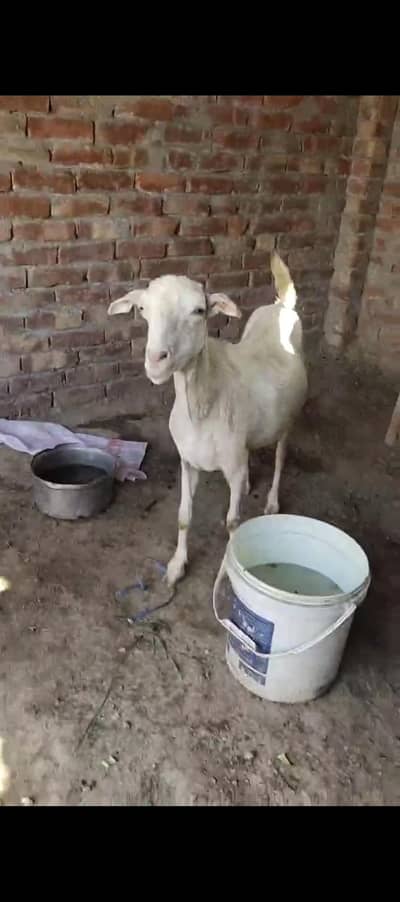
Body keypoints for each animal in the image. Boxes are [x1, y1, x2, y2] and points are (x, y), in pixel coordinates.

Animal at [108, 251, 307, 587]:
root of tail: (281, 307)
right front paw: (176, 567)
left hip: (290, 419)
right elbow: (184, 516)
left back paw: (272, 501)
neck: (203, 404)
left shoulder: (232, 463)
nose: (155, 360)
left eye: (199, 311)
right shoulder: (188, 461)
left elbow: (233, 524)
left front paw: (226, 572)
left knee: (281, 458)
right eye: (143, 309)